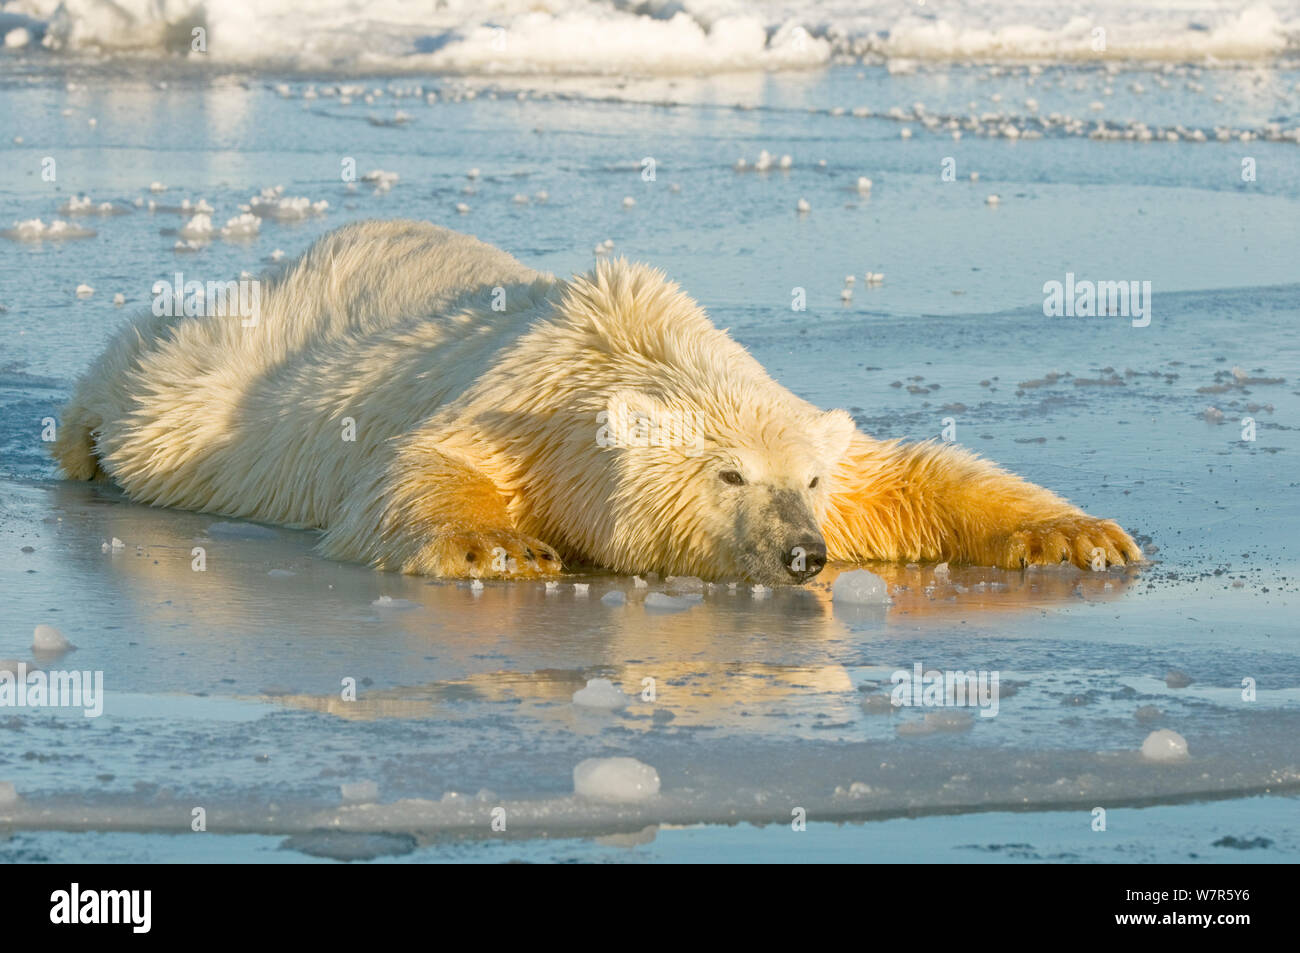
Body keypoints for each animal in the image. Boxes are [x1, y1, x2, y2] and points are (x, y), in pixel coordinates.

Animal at [55, 219, 1144, 582]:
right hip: (235, 375)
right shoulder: (517, 409)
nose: (803, 553)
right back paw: (78, 436)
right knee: (154, 389)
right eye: (729, 474)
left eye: (810, 481)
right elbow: (422, 468)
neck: (625, 341)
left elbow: (911, 479)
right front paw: (497, 550)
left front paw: (1080, 537)